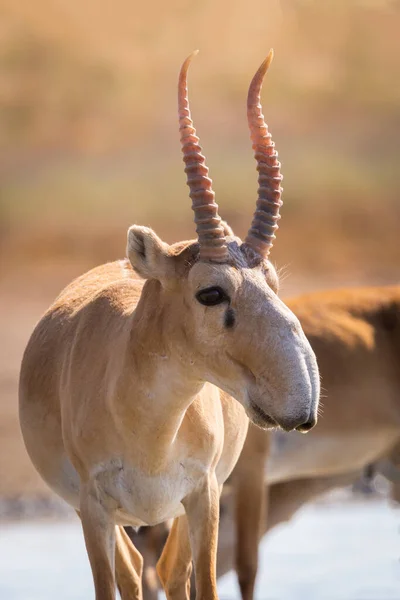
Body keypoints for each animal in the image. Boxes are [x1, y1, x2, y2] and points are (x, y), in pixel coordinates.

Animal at [18, 51, 318, 600]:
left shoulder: (205, 496)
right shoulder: (93, 511)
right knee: (135, 570)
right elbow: (110, 584)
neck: (149, 432)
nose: (301, 394)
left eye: (272, 281)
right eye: (211, 292)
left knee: (170, 569)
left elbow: (202, 582)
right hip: (110, 518)